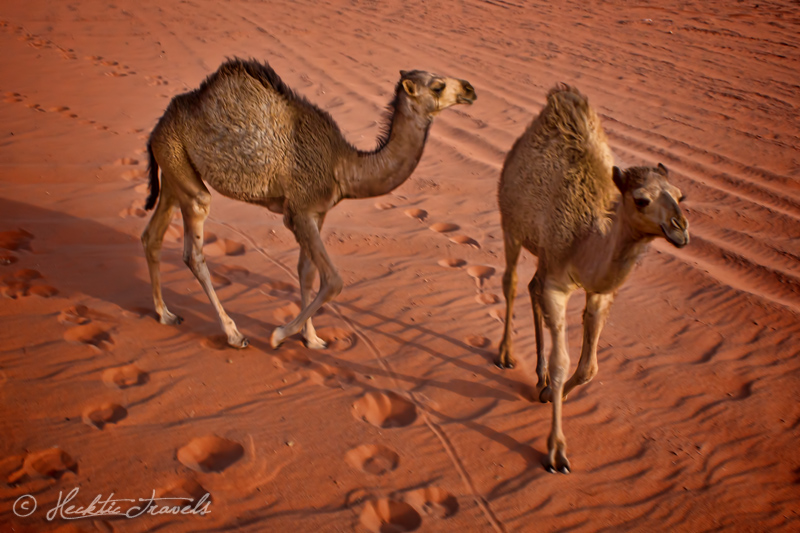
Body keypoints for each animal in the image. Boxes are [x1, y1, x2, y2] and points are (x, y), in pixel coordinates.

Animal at [142, 58, 476, 350]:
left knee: (152, 236)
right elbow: (333, 280)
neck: (344, 166)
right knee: (194, 248)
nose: (470, 88)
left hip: (173, 167)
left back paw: (165, 314)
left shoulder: (316, 213)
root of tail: (157, 126)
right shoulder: (299, 211)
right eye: (437, 86)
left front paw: (312, 339)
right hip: (182, 168)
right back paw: (234, 335)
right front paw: (280, 334)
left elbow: (307, 271)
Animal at [494, 84, 688, 474]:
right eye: (641, 200)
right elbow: (563, 363)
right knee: (511, 282)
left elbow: (588, 368)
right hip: (511, 223)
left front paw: (547, 392)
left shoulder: (598, 292)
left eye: (680, 195)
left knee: (531, 286)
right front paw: (556, 452)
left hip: (543, 252)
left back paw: (536, 374)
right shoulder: (559, 283)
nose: (680, 228)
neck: (586, 237)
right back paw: (506, 354)